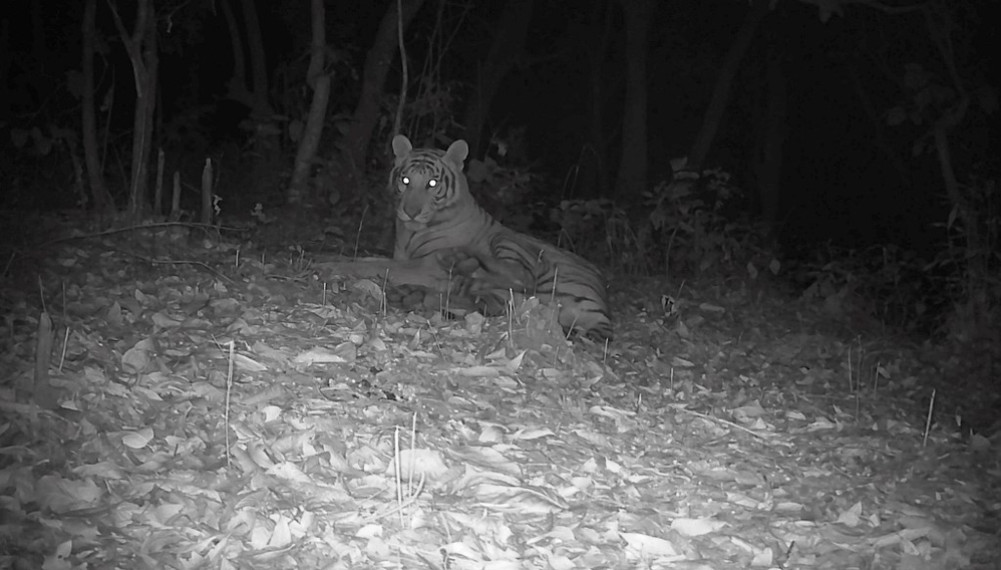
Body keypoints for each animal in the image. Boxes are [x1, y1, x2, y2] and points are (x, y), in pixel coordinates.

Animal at [386, 134, 612, 341]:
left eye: (432, 183)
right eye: (405, 181)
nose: (411, 212)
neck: (410, 232)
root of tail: (602, 306)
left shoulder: (426, 263)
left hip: (509, 242)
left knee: (518, 278)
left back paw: (458, 264)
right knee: (491, 300)